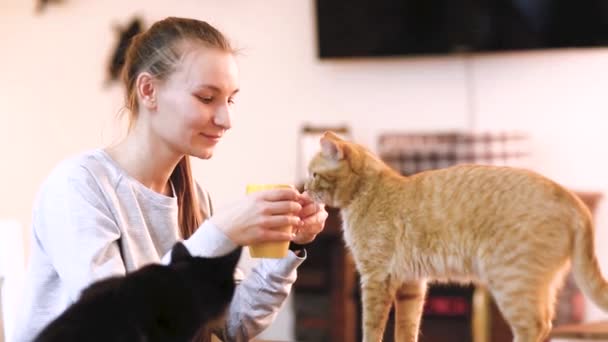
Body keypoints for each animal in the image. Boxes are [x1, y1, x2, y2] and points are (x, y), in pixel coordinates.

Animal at [306, 132, 608, 342]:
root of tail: (573, 198)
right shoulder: (410, 284)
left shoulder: (376, 278)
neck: (367, 191)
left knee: (536, 325)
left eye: (314, 174)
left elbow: (371, 328)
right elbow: (406, 328)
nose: (305, 189)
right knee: (546, 325)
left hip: (511, 283)